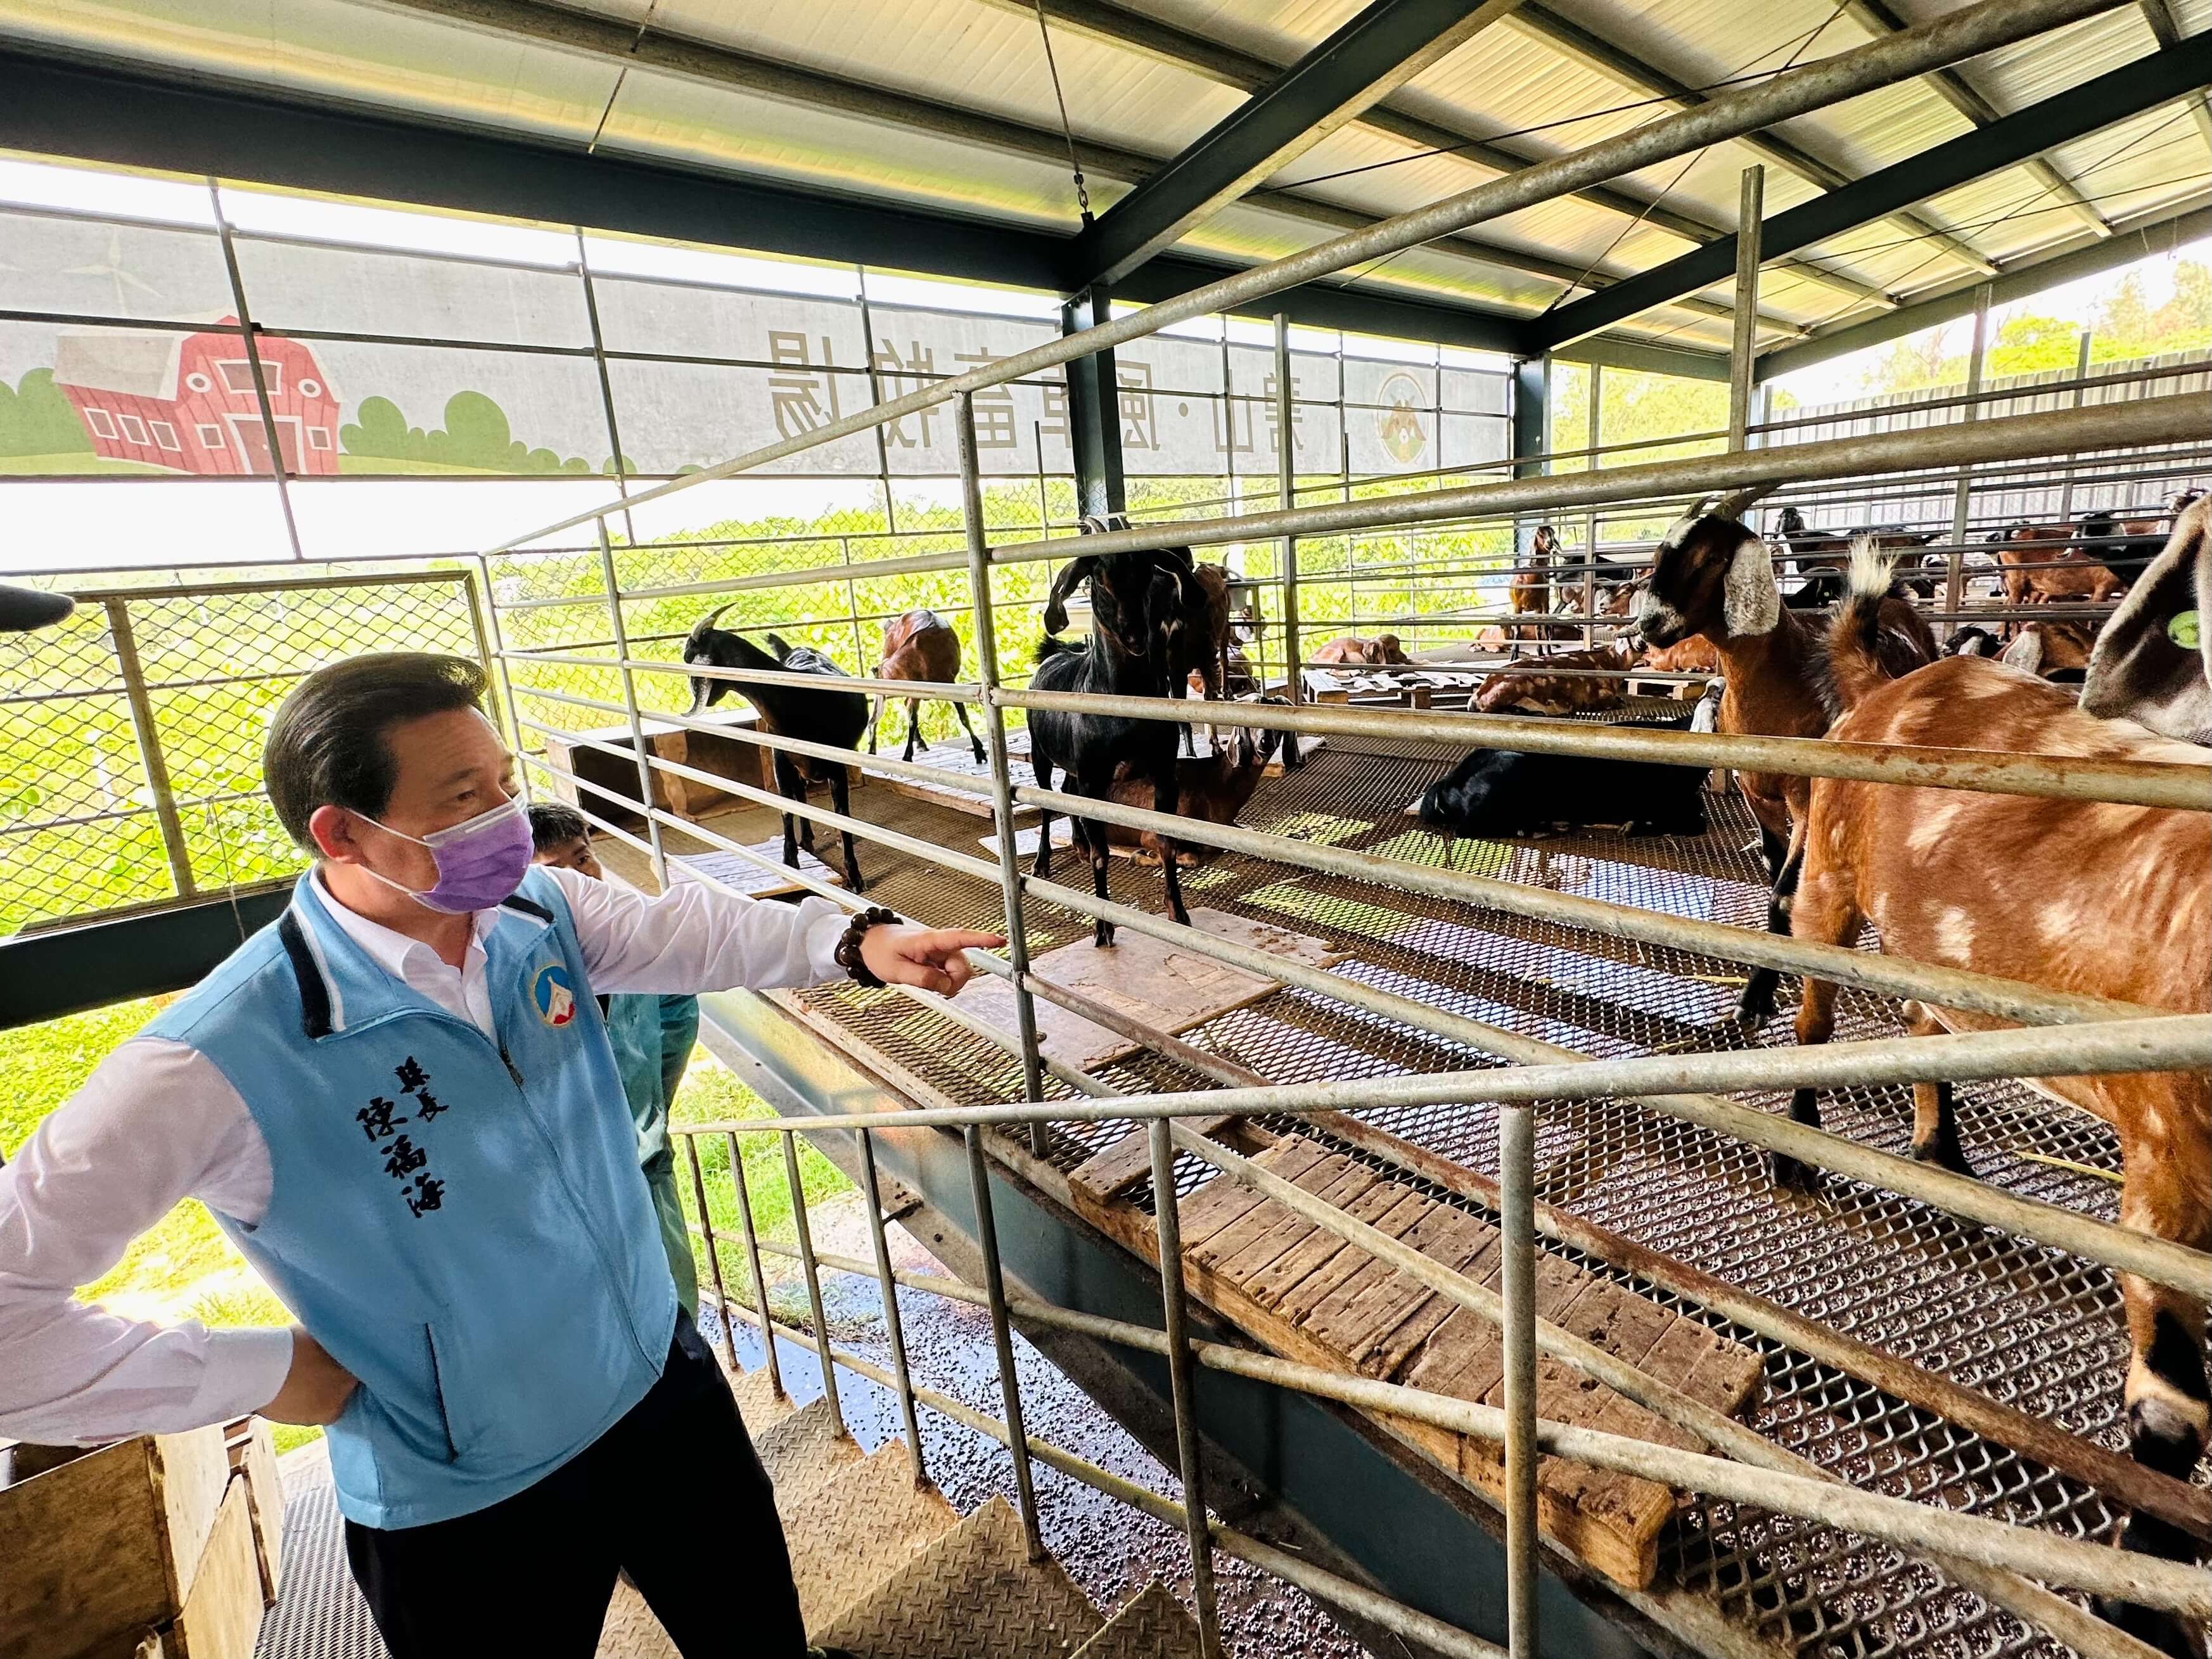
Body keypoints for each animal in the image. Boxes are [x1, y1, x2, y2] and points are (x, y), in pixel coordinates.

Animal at [867, 610, 982, 765]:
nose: (871, 720)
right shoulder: (915, 689)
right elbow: (912, 720)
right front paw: (907, 756)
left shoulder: (949, 682)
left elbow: (963, 717)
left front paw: (979, 752)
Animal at [1030, 548, 1203, 947]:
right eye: (1097, 579)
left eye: (1148, 573)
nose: (1134, 635)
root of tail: (1053, 655)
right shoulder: (1094, 778)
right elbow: (1102, 854)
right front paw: (1103, 927)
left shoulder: (1162, 772)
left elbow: (1167, 842)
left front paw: (1178, 914)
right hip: (1040, 754)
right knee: (1048, 802)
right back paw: (1043, 862)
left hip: (1075, 767)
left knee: (1068, 791)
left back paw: (1077, 844)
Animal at [1628, 486, 1938, 1022]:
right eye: (1661, 552)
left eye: (1709, 558)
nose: (1649, 625)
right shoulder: (1758, 794)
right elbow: (1774, 875)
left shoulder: (1806, 795)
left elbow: (1782, 895)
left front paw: (1755, 996)